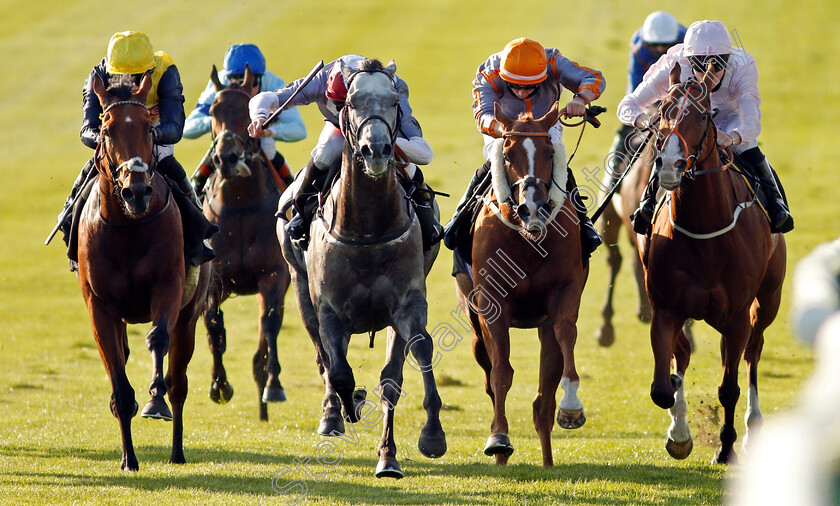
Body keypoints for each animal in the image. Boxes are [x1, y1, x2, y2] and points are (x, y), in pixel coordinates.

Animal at [77, 72, 212, 470]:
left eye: (149, 129)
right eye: (106, 129)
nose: (137, 191)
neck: (128, 227)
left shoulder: (168, 286)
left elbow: (158, 339)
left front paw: (155, 400)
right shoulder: (100, 306)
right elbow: (117, 377)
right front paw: (129, 459)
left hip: (190, 314)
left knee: (179, 381)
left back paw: (177, 450)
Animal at [278, 58, 450, 478]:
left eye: (393, 102)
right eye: (352, 102)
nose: (378, 149)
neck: (368, 228)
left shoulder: (407, 303)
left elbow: (410, 360)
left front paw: (421, 440)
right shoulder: (328, 310)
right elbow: (337, 370)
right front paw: (348, 404)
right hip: (299, 287)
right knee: (324, 358)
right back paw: (332, 414)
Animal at [456, 103, 588, 466]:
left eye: (548, 152)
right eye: (507, 153)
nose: (533, 208)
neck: (528, 241)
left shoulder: (565, 290)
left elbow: (567, 332)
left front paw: (572, 407)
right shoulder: (492, 304)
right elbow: (501, 373)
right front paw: (499, 438)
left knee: (543, 400)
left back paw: (548, 462)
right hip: (475, 327)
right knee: (491, 378)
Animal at [644, 65, 788, 464]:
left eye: (702, 115)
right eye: (661, 110)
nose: (670, 164)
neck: (704, 233)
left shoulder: (739, 315)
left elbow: (729, 387)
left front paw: (726, 449)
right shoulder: (665, 309)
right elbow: (664, 385)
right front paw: (679, 435)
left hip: (767, 300)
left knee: (753, 353)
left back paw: (752, 430)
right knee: (685, 356)